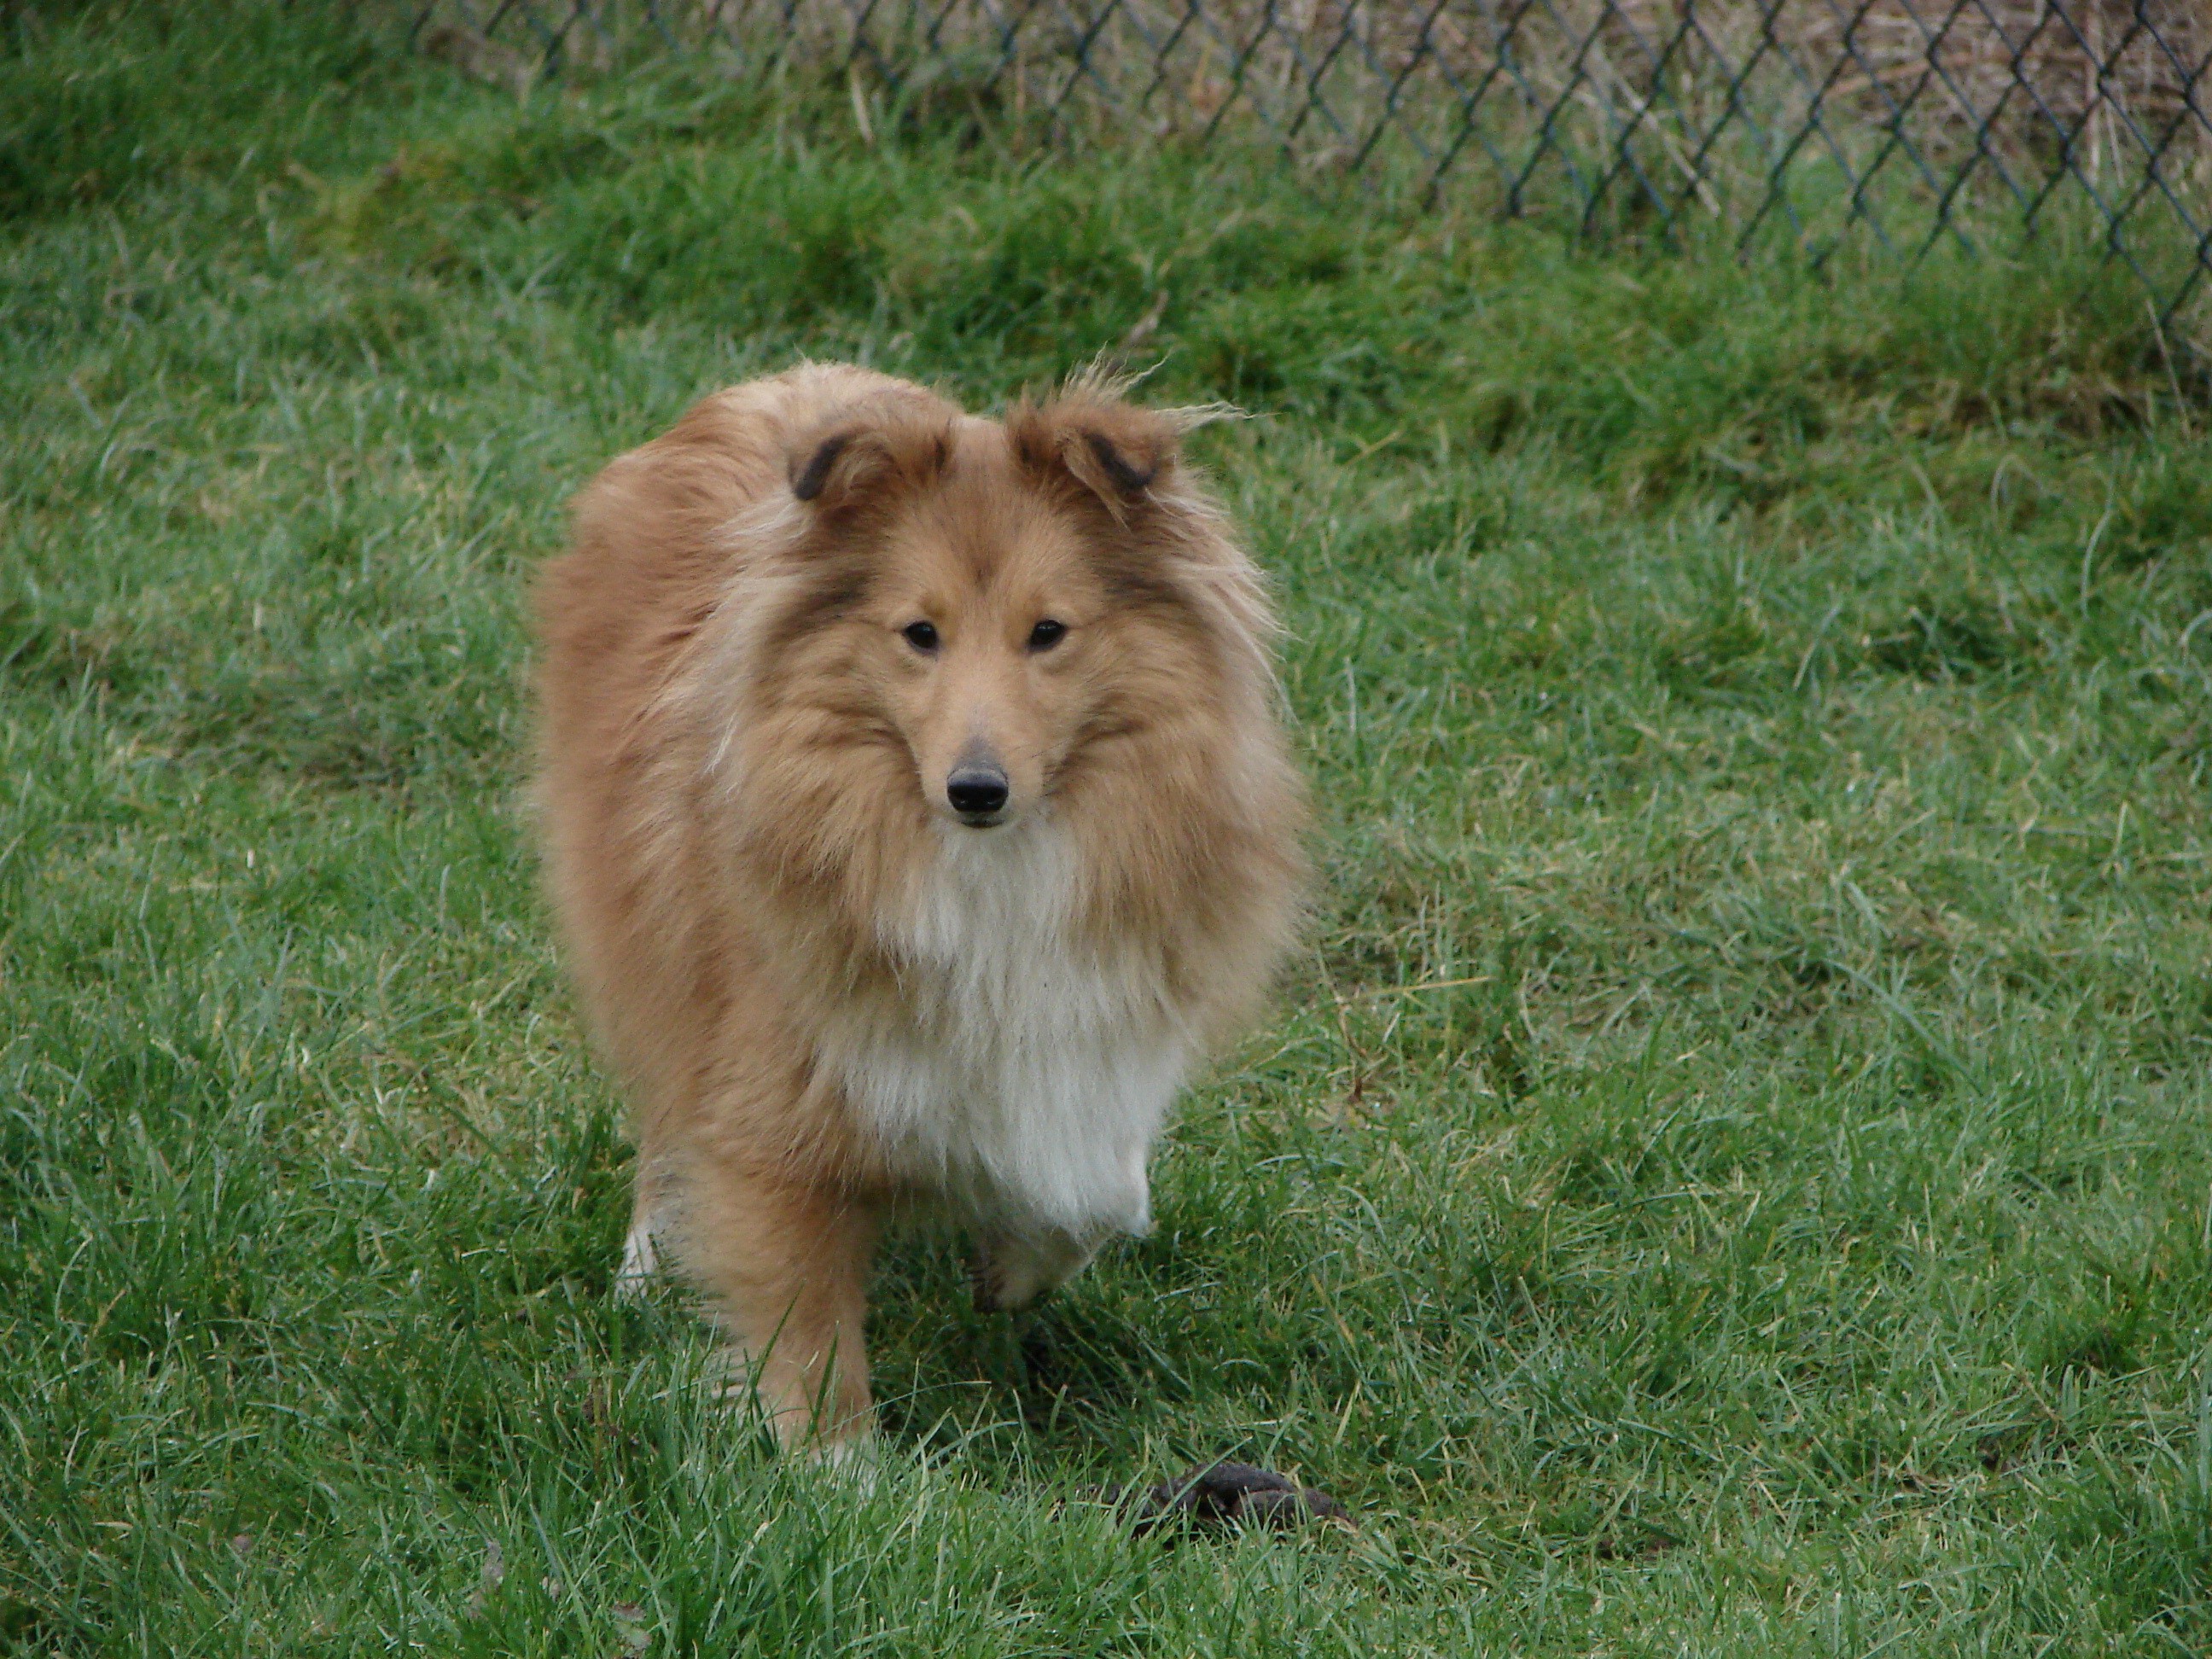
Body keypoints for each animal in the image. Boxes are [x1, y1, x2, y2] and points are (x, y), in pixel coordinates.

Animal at [528, 367, 1301, 1451]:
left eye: (1048, 633)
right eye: (919, 635)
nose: (975, 790)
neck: (987, 867)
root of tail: (774, 382)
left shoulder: (1093, 1039)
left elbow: (1106, 1191)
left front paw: (1013, 1265)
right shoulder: (777, 1088)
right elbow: (804, 1325)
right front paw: (839, 1473)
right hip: (643, 926)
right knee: (665, 1095)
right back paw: (648, 1265)